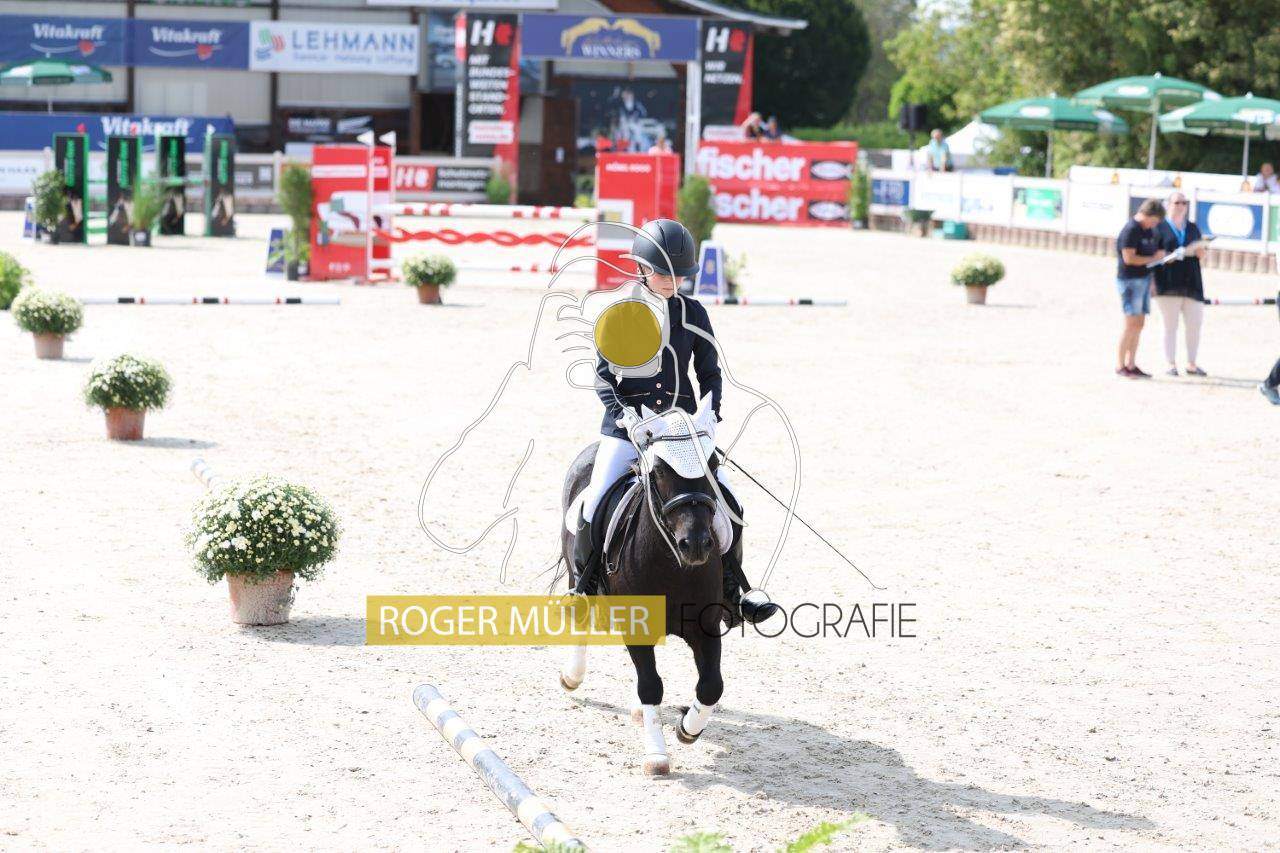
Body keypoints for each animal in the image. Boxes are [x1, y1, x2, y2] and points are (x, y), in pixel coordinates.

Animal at [557, 395, 732, 776]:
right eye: (661, 472)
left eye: (712, 464)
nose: (696, 545)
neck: (674, 566)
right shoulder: (636, 625)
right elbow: (651, 685)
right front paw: (657, 755)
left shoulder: (705, 625)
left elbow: (711, 686)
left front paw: (687, 728)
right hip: (577, 574)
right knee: (580, 616)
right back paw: (572, 676)